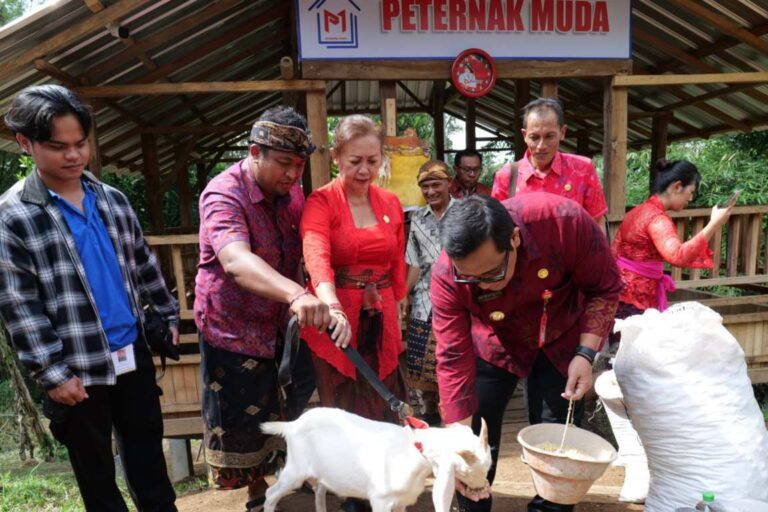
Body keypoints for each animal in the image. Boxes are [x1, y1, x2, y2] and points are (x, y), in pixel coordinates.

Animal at [260, 406, 488, 510]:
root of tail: (291, 426)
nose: (483, 488)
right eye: (466, 471)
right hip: (296, 470)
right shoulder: (381, 499)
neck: (412, 450)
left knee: (320, 491)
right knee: (271, 493)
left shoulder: (400, 501)